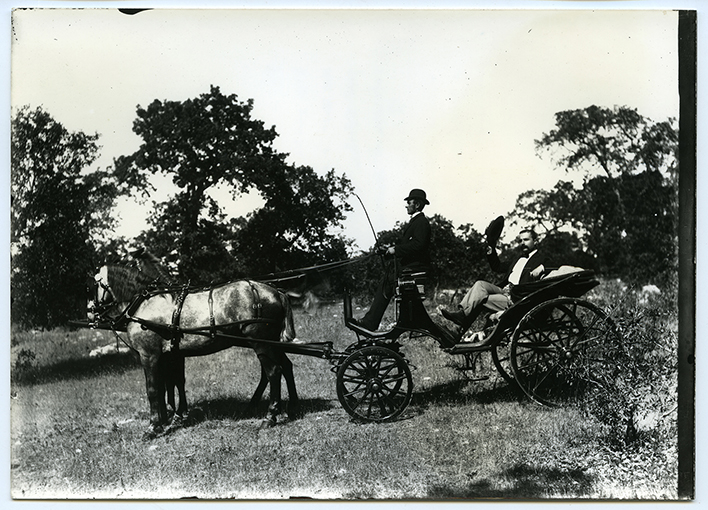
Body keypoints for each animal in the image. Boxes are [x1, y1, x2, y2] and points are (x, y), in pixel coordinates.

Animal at [88, 264, 298, 436]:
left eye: (94, 285)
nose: (91, 312)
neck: (145, 303)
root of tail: (276, 292)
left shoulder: (149, 355)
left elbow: (153, 389)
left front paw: (154, 427)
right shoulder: (169, 354)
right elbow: (171, 384)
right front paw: (171, 418)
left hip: (260, 342)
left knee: (273, 372)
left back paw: (270, 417)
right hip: (270, 343)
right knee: (285, 367)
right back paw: (291, 407)